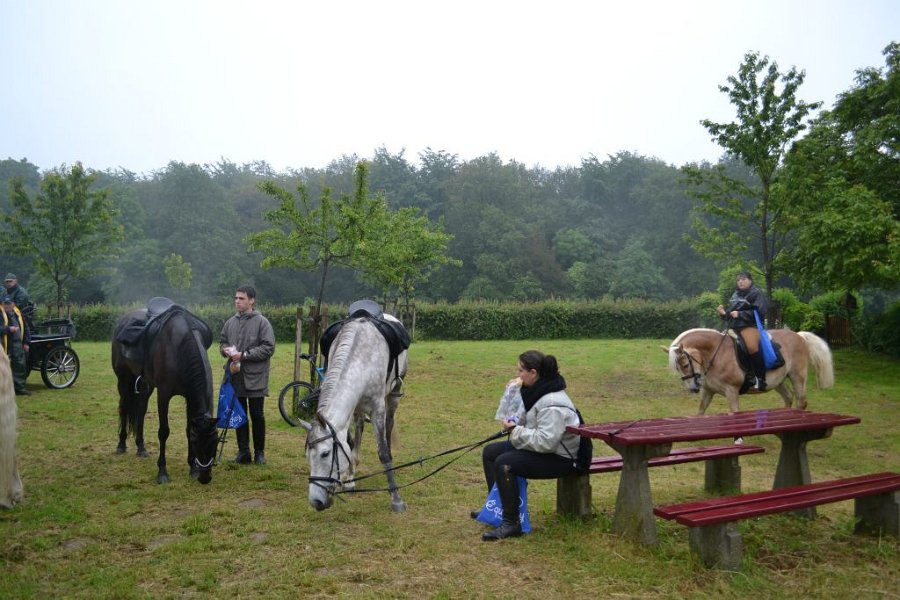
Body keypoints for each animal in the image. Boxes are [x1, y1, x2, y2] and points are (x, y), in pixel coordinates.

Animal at [112, 303, 219, 484]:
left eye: (215, 444)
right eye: (197, 443)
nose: (205, 478)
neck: (180, 349)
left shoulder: (189, 397)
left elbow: (188, 428)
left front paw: (192, 468)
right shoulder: (164, 395)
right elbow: (164, 432)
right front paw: (162, 472)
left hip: (145, 385)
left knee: (140, 411)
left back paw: (141, 447)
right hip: (124, 380)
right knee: (124, 409)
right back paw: (121, 444)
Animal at [302, 315, 408, 512]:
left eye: (325, 454)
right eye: (307, 456)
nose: (316, 501)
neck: (361, 360)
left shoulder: (377, 408)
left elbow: (383, 452)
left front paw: (396, 499)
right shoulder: (351, 407)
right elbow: (349, 443)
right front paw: (349, 480)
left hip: (394, 394)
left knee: (389, 424)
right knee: (359, 428)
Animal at [666, 328, 835, 414]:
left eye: (685, 364)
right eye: (678, 367)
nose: (692, 388)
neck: (717, 353)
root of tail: (799, 336)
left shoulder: (731, 391)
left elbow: (734, 412)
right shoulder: (708, 391)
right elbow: (701, 411)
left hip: (797, 377)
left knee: (801, 401)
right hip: (778, 381)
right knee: (788, 397)